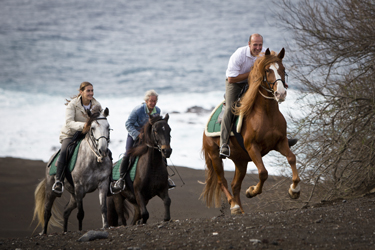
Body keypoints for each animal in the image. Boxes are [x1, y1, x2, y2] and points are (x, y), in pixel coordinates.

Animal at [33, 106, 112, 234]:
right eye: (93, 128)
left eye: (108, 127)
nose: (103, 150)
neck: (93, 161)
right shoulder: (79, 187)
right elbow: (80, 214)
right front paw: (80, 230)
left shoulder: (103, 184)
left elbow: (103, 208)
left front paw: (105, 226)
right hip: (51, 190)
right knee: (47, 211)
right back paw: (44, 232)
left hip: (74, 196)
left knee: (66, 211)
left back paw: (65, 231)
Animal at [201, 48, 302, 215]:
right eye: (268, 70)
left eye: (283, 69)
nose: (281, 93)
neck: (266, 113)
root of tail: (204, 132)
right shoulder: (253, 147)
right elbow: (263, 172)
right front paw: (252, 191)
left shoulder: (280, 142)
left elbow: (292, 158)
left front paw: (294, 190)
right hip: (215, 156)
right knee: (223, 181)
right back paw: (234, 206)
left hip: (240, 161)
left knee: (235, 185)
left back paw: (240, 210)